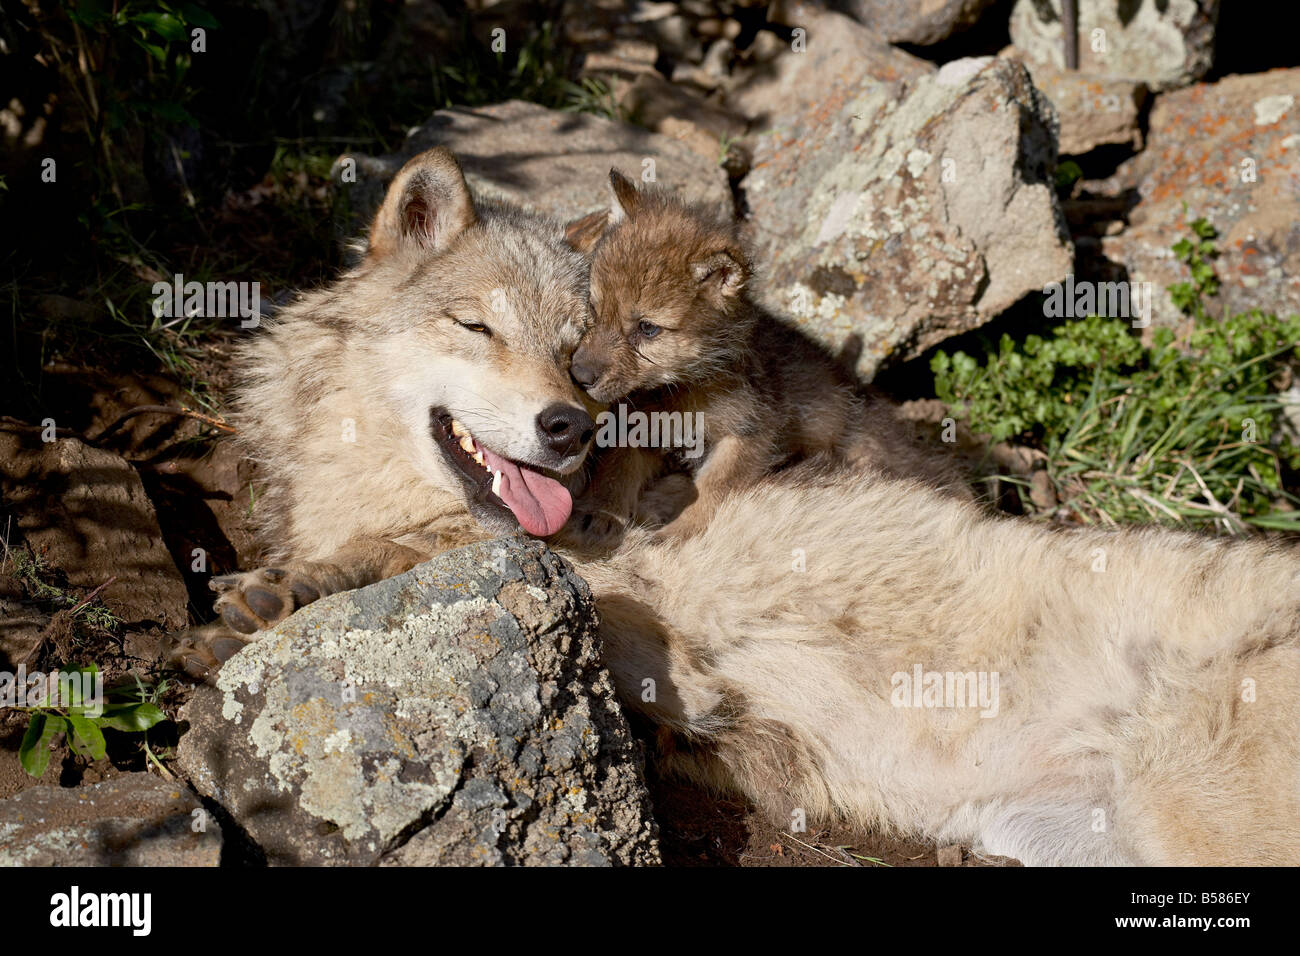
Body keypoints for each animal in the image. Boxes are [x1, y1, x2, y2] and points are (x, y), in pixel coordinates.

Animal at [560, 170, 969, 544]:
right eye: (594, 310)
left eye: (647, 328)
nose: (579, 375)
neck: (684, 387)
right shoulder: (641, 428)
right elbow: (617, 468)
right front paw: (601, 511)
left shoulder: (751, 433)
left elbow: (714, 489)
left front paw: (682, 530)